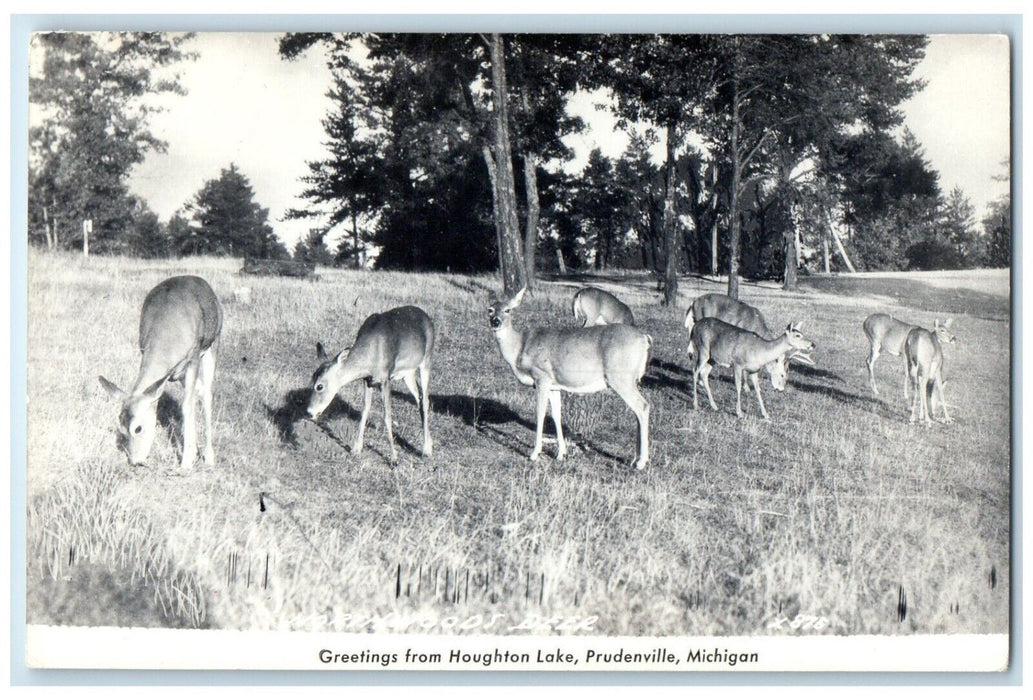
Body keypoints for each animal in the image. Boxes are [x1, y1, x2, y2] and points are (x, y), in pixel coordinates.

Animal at [98, 276, 222, 468]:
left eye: (138, 428)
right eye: (121, 428)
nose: (135, 461)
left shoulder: (193, 358)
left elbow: (187, 405)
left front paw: (186, 462)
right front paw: (191, 453)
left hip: (212, 345)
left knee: (206, 394)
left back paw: (208, 456)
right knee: (199, 391)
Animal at [305, 305, 435, 460]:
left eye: (320, 386)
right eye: (311, 379)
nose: (309, 412)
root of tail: (427, 317)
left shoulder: (385, 378)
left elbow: (387, 416)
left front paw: (394, 458)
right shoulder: (367, 380)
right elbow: (365, 410)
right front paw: (356, 449)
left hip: (427, 360)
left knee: (425, 399)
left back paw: (426, 450)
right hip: (408, 373)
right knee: (419, 398)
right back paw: (429, 443)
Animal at [685, 291, 814, 390]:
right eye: (783, 374)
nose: (780, 388)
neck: (756, 326)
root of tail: (694, 301)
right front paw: (746, 387)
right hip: (701, 316)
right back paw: (699, 379)